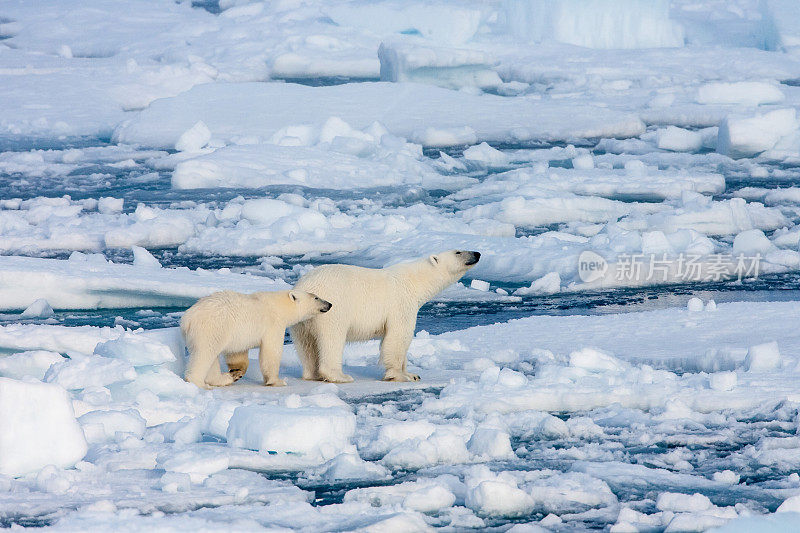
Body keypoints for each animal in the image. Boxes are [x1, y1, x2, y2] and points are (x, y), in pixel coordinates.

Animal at [294, 250, 482, 382]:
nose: (477, 253)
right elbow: (398, 337)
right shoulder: (401, 303)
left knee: (306, 345)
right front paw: (398, 375)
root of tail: (304, 285)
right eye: (458, 251)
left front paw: (413, 375)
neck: (415, 281)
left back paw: (312, 374)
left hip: (302, 321)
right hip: (332, 309)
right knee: (332, 339)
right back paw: (340, 376)